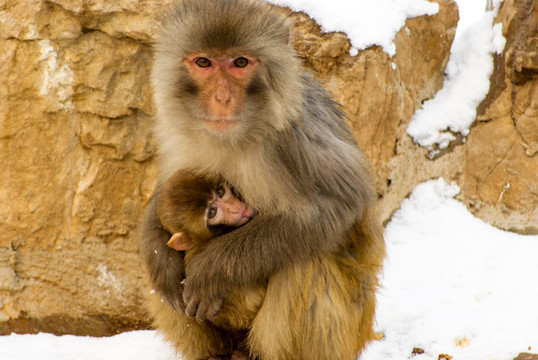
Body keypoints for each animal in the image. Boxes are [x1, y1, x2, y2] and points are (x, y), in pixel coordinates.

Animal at [136, 0, 384, 358]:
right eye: (203, 62)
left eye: (240, 63)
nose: (222, 98)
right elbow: (167, 189)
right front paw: (160, 257)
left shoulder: (293, 140)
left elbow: (339, 206)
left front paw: (212, 268)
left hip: (349, 331)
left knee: (304, 261)